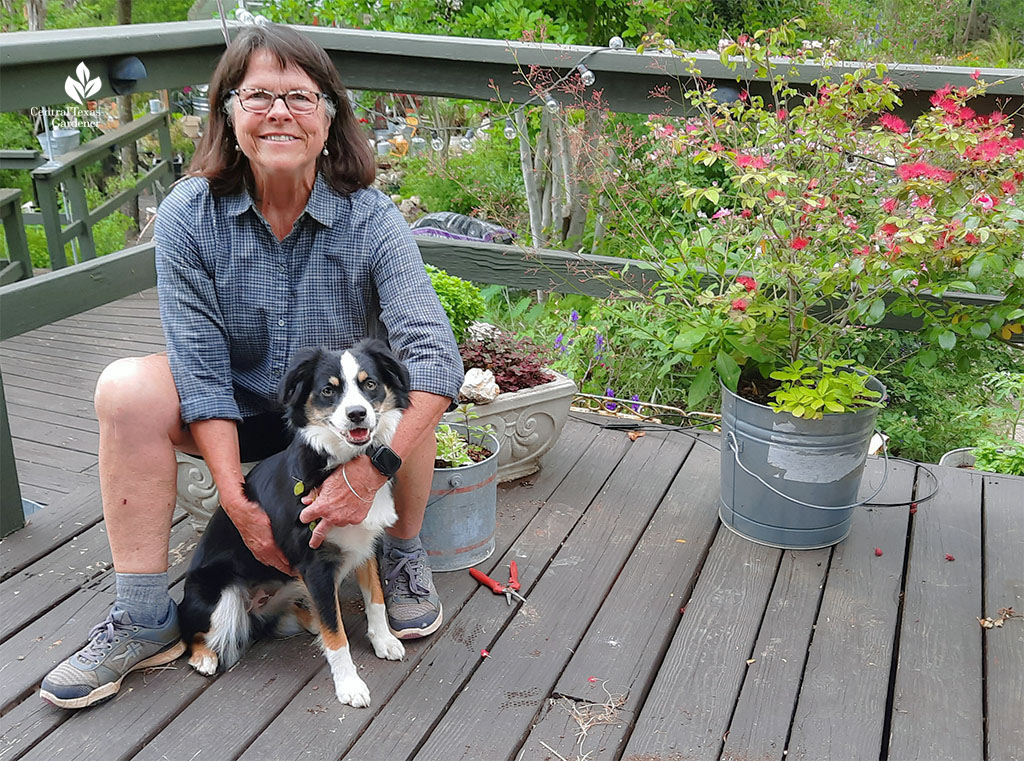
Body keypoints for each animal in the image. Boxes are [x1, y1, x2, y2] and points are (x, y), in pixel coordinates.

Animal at [178, 340, 409, 708]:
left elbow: (375, 598)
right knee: (194, 634)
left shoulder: (366, 544)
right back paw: (204, 657)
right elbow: (337, 636)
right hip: (218, 596)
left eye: (370, 384)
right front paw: (349, 685)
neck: (338, 465)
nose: (357, 414)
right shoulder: (315, 565)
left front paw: (383, 640)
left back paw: (309, 620)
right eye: (328, 390)